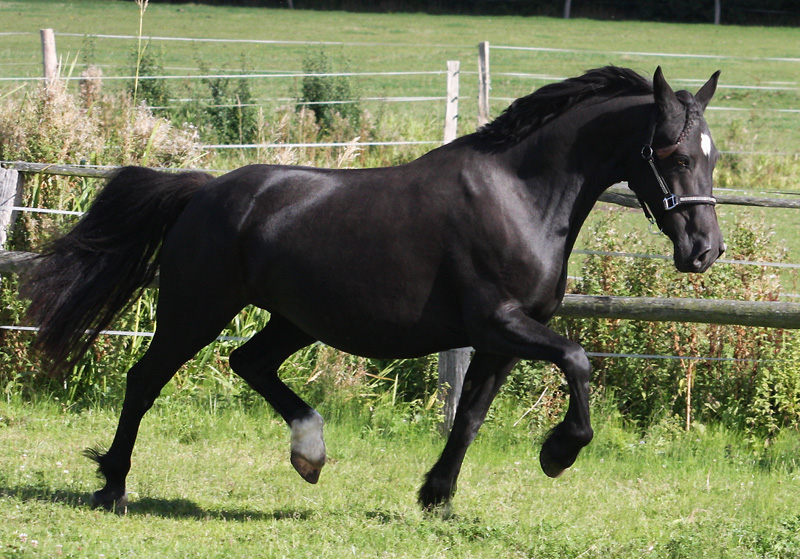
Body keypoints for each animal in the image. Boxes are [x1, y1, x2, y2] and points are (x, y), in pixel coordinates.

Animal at [21, 66, 724, 513]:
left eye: (713, 156)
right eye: (675, 154)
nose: (705, 250)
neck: (521, 197)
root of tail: (204, 191)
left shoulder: (500, 339)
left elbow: (469, 418)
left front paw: (436, 498)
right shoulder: (499, 323)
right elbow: (577, 361)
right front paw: (558, 453)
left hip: (292, 318)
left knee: (248, 363)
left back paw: (309, 452)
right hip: (196, 309)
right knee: (146, 380)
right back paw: (112, 487)